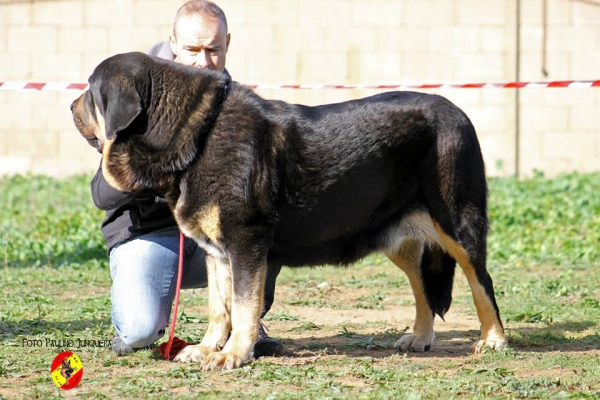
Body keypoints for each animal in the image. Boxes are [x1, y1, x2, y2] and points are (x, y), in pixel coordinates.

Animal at [72, 51, 508, 370]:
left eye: (90, 90)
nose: (71, 105)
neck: (196, 133)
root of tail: (459, 113)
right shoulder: (217, 251)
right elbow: (219, 307)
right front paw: (208, 348)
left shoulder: (246, 242)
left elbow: (243, 306)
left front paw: (233, 354)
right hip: (399, 238)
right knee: (422, 285)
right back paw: (419, 336)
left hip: (457, 222)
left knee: (480, 280)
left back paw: (493, 339)